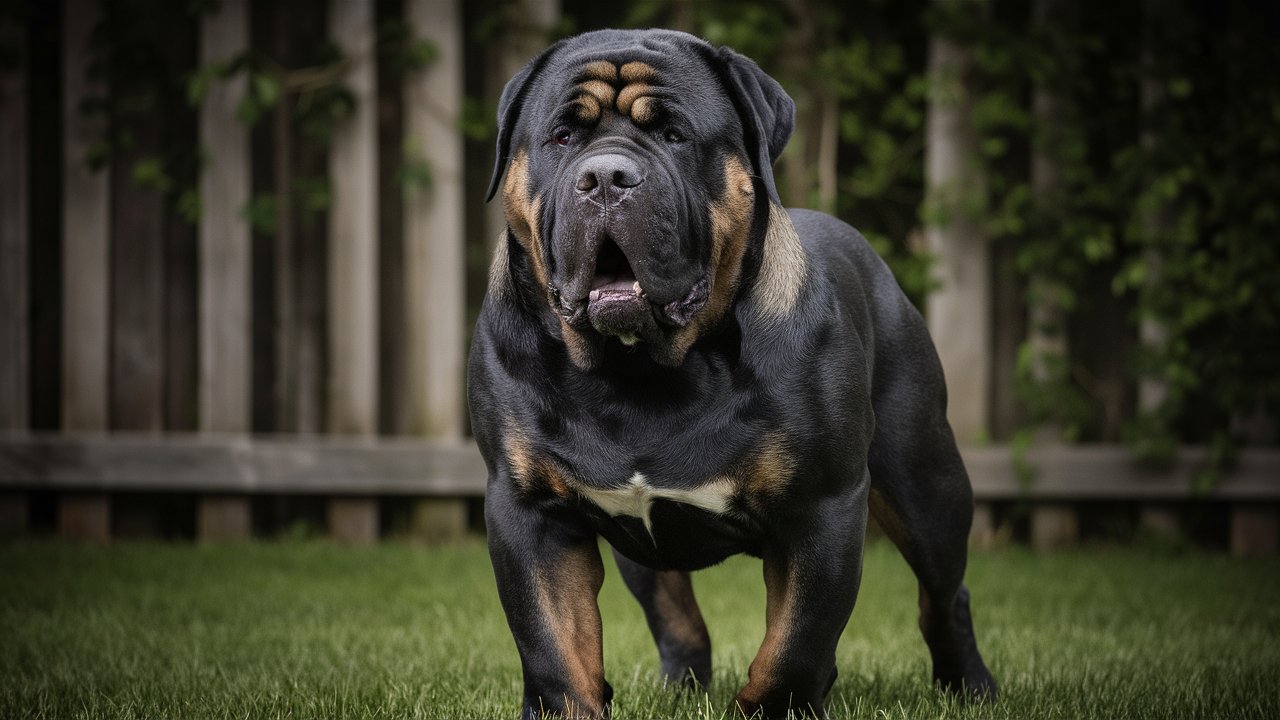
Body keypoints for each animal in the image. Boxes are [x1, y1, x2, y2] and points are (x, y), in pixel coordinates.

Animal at [471, 28, 998, 717]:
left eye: (675, 135)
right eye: (562, 136)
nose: (605, 176)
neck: (640, 369)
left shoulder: (821, 508)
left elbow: (795, 644)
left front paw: (776, 706)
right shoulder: (528, 512)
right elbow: (555, 645)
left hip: (925, 484)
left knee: (945, 593)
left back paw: (971, 686)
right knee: (676, 615)